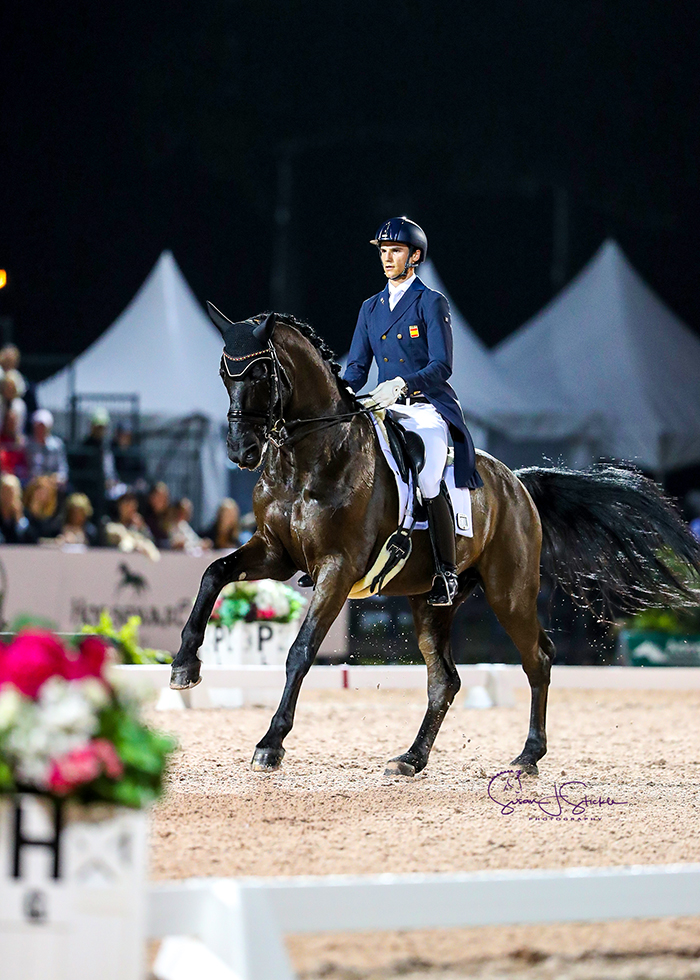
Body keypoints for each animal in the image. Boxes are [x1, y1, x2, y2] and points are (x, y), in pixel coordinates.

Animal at [170, 312, 700, 772]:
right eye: (224, 372)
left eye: (261, 371)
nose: (241, 451)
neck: (309, 458)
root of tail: (518, 482)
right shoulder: (275, 553)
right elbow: (213, 573)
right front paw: (184, 666)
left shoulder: (336, 569)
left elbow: (300, 652)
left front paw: (271, 743)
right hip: (431, 601)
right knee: (445, 678)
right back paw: (412, 758)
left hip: (509, 592)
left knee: (538, 658)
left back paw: (528, 756)